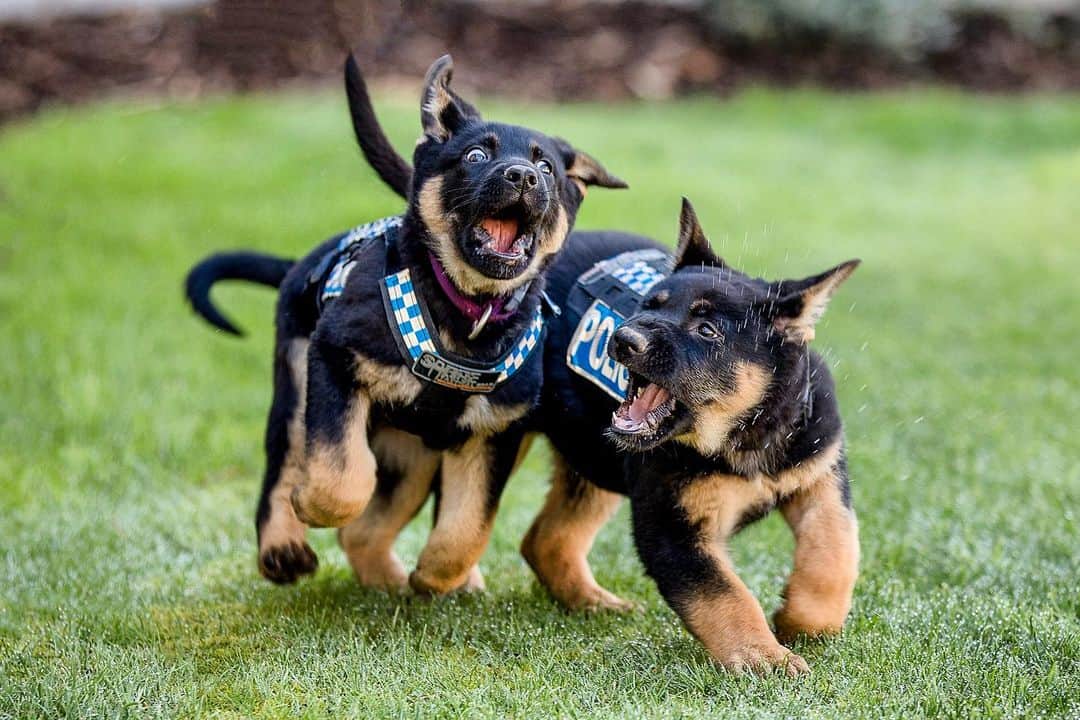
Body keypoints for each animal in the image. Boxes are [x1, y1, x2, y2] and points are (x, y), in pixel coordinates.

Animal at [185, 56, 626, 595]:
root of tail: (302, 264)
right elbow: (341, 479)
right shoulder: (334, 358)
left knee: (369, 529)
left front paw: (437, 577)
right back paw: (283, 549)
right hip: (297, 387)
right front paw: (311, 504)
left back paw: (398, 584)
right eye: (476, 155)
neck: (465, 313)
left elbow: (468, 527)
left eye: (547, 169)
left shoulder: (494, 430)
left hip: (411, 456)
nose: (523, 176)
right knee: (286, 466)